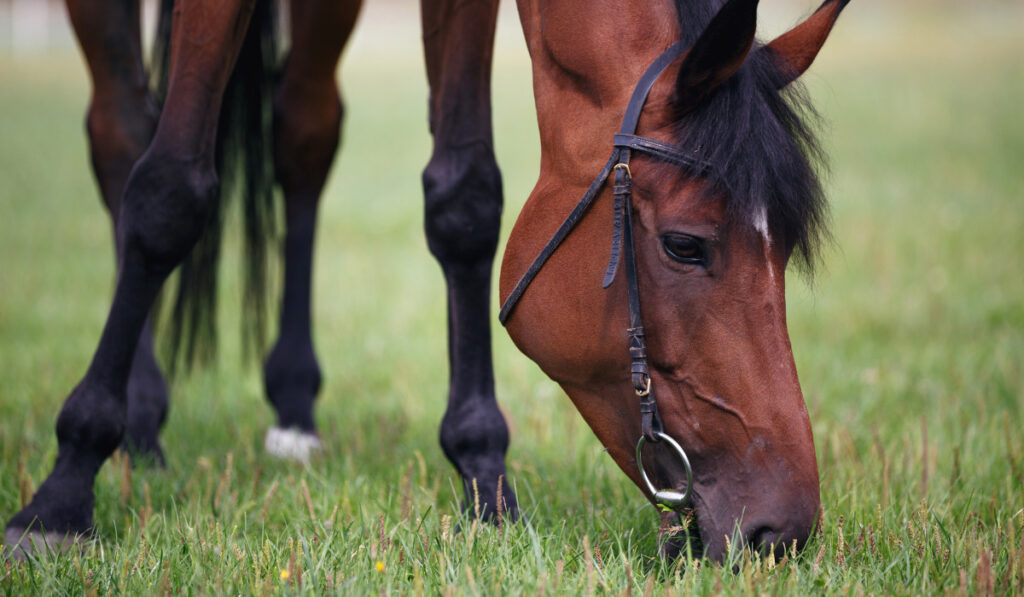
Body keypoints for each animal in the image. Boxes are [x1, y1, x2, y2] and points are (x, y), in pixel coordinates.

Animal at [4, 0, 847, 565]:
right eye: (684, 245)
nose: (783, 531)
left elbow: (464, 198)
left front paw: (484, 473)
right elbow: (168, 195)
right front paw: (60, 495)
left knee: (302, 131)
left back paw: (293, 405)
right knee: (122, 137)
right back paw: (139, 418)